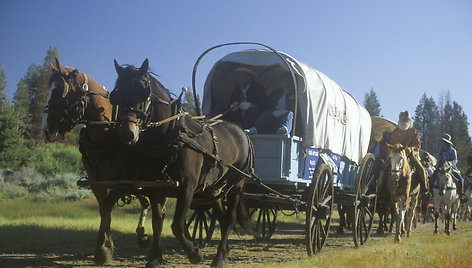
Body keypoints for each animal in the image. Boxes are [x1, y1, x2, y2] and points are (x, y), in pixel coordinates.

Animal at [40, 58, 155, 260]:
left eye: (58, 91)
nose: (45, 130)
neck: (106, 133)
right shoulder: (96, 182)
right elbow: (104, 211)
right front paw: (105, 248)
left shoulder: (119, 182)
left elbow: (108, 208)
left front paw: (103, 249)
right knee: (146, 201)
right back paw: (142, 235)